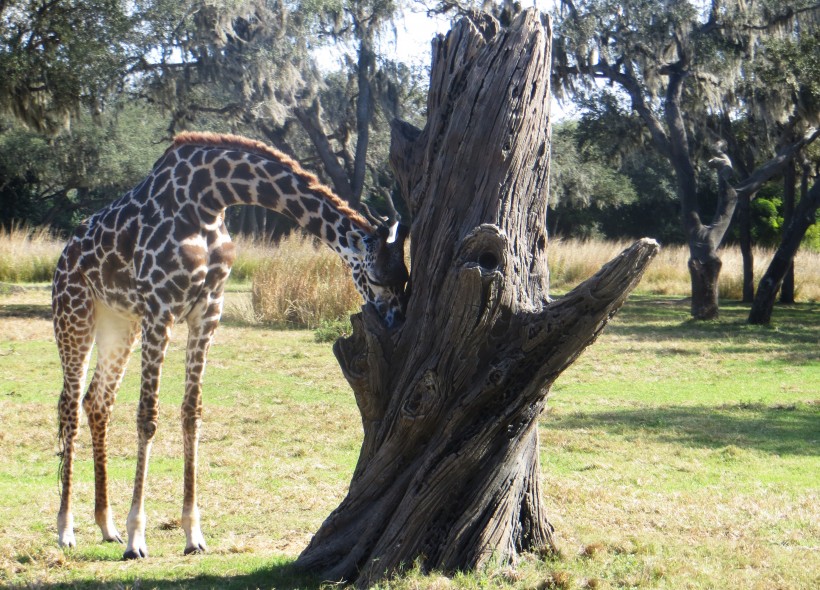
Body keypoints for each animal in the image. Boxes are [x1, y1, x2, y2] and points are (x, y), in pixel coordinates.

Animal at [52, 132, 410, 560]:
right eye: (375, 277)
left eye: (405, 278)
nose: (396, 322)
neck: (208, 198)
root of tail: (62, 257)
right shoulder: (160, 308)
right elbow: (147, 416)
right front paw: (138, 538)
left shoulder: (208, 311)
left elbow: (192, 413)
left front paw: (193, 534)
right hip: (75, 314)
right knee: (69, 406)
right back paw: (66, 530)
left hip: (119, 324)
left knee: (97, 401)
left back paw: (106, 527)